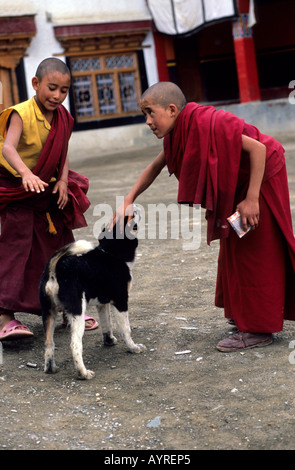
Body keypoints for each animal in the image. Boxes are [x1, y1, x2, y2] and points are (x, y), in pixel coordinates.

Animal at [39, 207, 146, 380]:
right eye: (129, 217)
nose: (134, 207)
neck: (110, 252)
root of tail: (56, 269)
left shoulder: (102, 304)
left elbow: (107, 325)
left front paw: (109, 341)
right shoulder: (121, 302)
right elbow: (126, 330)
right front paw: (133, 348)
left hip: (49, 312)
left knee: (49, 343)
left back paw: (50, 368)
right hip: (77, 313)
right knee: (75, 344)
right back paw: (83, 373)